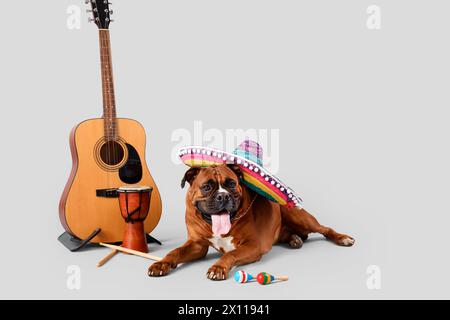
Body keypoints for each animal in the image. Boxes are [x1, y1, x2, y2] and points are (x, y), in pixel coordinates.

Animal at [148, 165, 356, 280]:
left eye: (231, 184)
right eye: (207, 187)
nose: (223, 196)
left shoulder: (252, 246)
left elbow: (230, 254)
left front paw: (218, 268)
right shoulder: (197, 245)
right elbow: (174, 252)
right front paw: (161, 264)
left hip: (300, 217)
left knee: (325, 228)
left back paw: (343, 238)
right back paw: (294, 239)